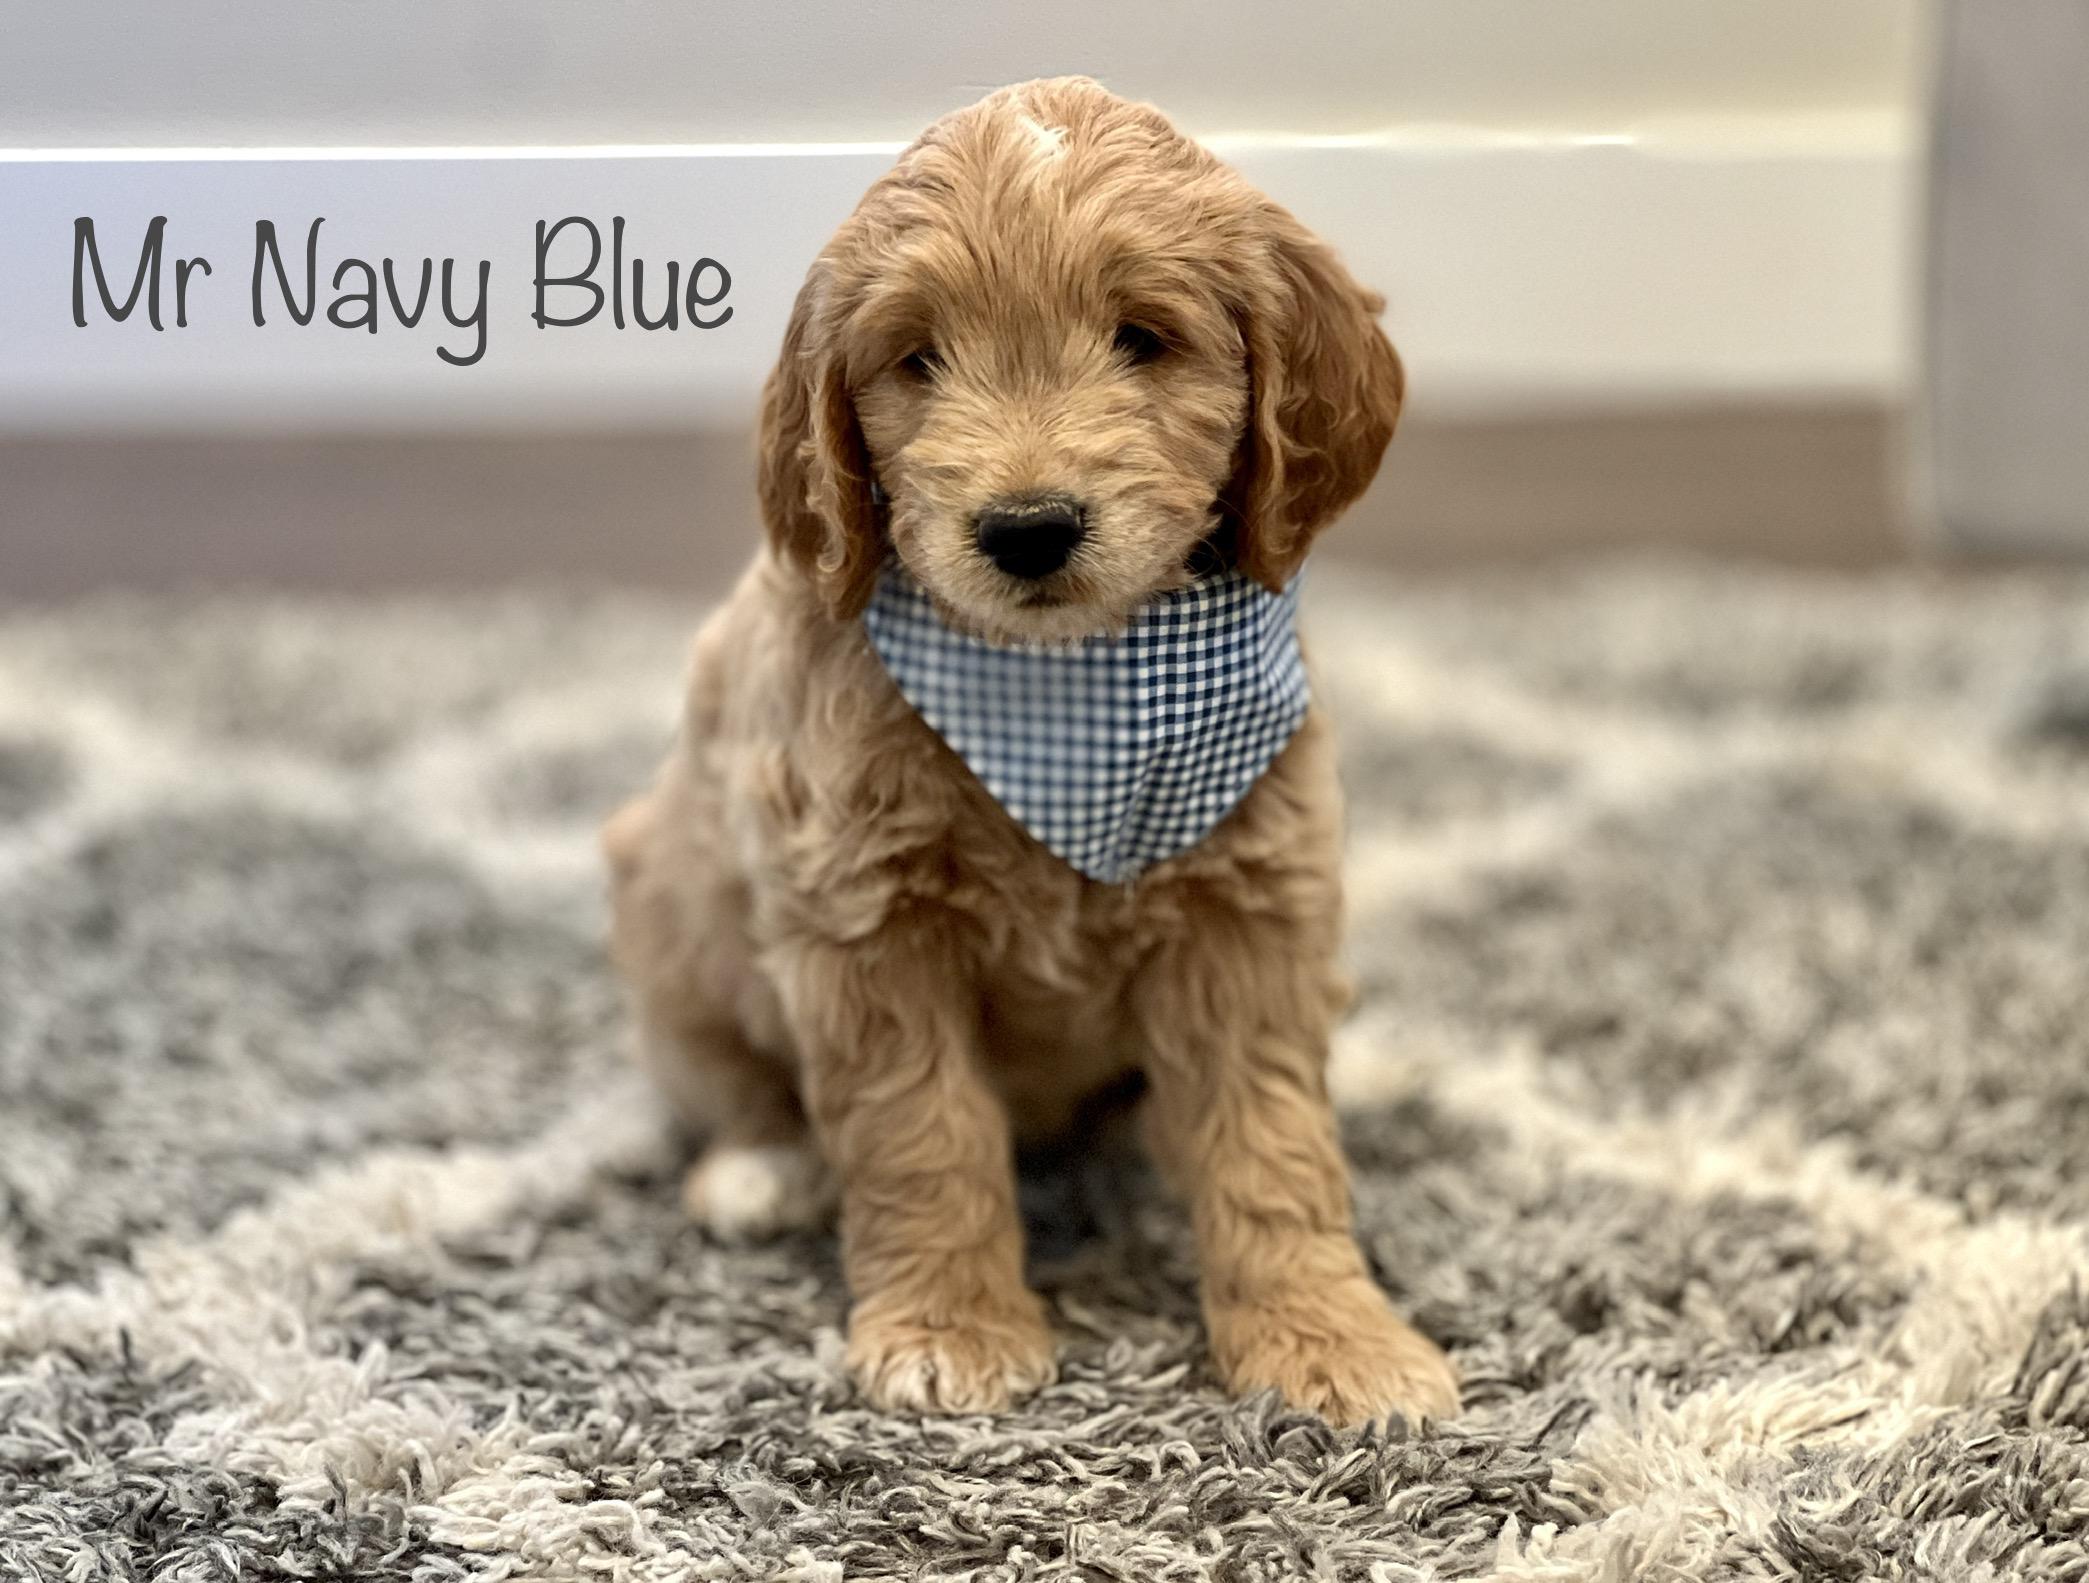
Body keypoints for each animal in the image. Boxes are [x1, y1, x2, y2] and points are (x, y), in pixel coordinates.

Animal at [603, 77, 1458, 1428]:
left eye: (1141, 337)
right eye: (917, 358)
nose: (1027, 528)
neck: (1071, 707)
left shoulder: (1248, 908)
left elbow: (1270, 1138)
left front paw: (1330, 1338)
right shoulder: (863, 924)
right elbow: (922, 1129)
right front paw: (949, 1325)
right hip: (667, 910)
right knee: (722, 1073)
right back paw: (761, 1169)